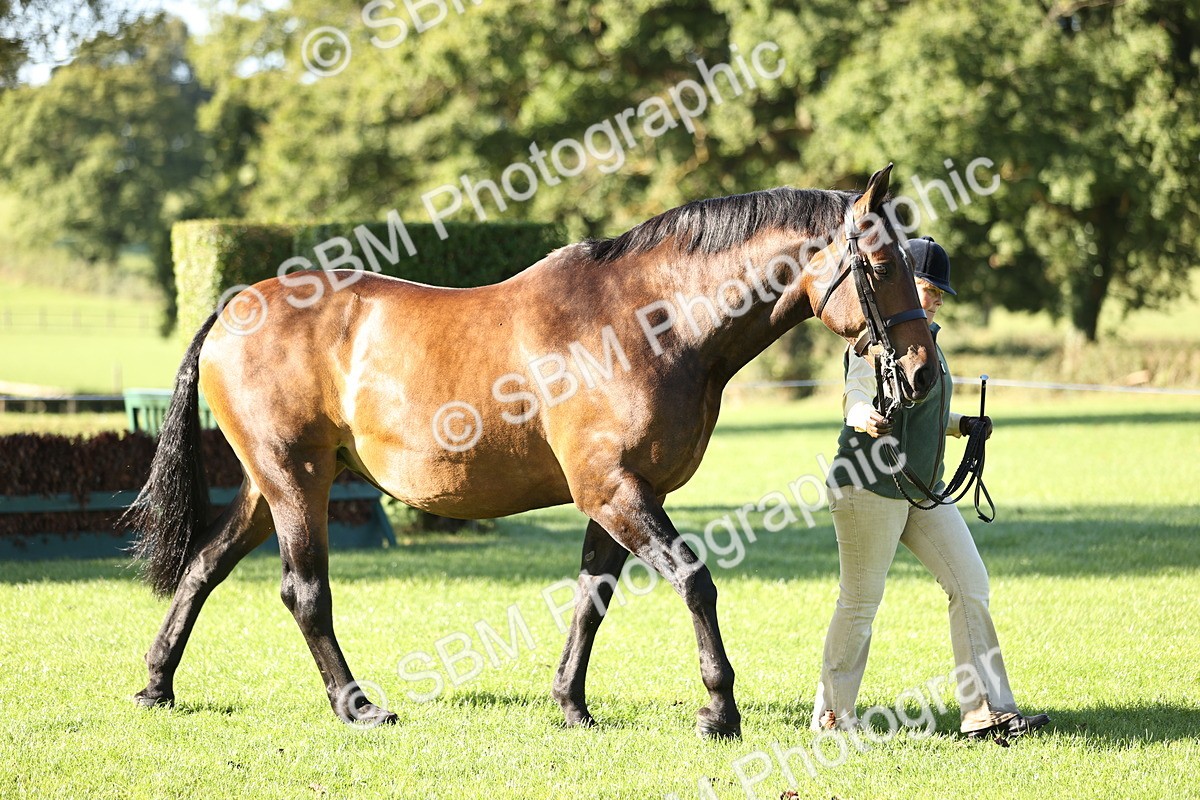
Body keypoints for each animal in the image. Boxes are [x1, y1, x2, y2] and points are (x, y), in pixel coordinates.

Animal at [124, 164, 937, 739]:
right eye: (881, 265)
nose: (924, 372)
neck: (650, 323)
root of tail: (234, 305)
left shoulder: (622, 494)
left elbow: (590, 599)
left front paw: (572, 705)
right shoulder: (612, 489)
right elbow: (694, 580)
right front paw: (718, 711)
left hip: (270, 486)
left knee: (203, 567)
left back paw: (158, 685)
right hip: (296, 483)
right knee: (304, 593)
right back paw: (357, 707)